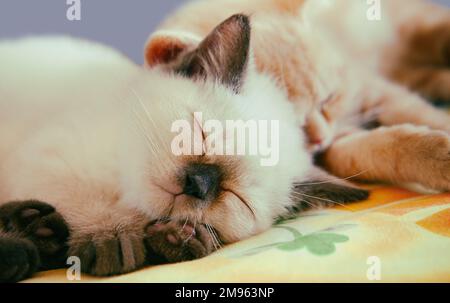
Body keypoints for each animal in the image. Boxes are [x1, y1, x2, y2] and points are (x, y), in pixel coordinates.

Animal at [0, 28, 368, 280]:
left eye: (237, 197)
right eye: (201, 133)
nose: (198, 183)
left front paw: (180, 237)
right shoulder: (48, 158)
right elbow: (85, 196)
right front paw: (113, 235)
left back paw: (34, 233)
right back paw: (27, 240)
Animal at [145, 0, 450, 192]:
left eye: (328, 99)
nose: (320, 139)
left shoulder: (370, 88)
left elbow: (418, 112)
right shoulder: (337, 146)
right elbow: (376, 150)